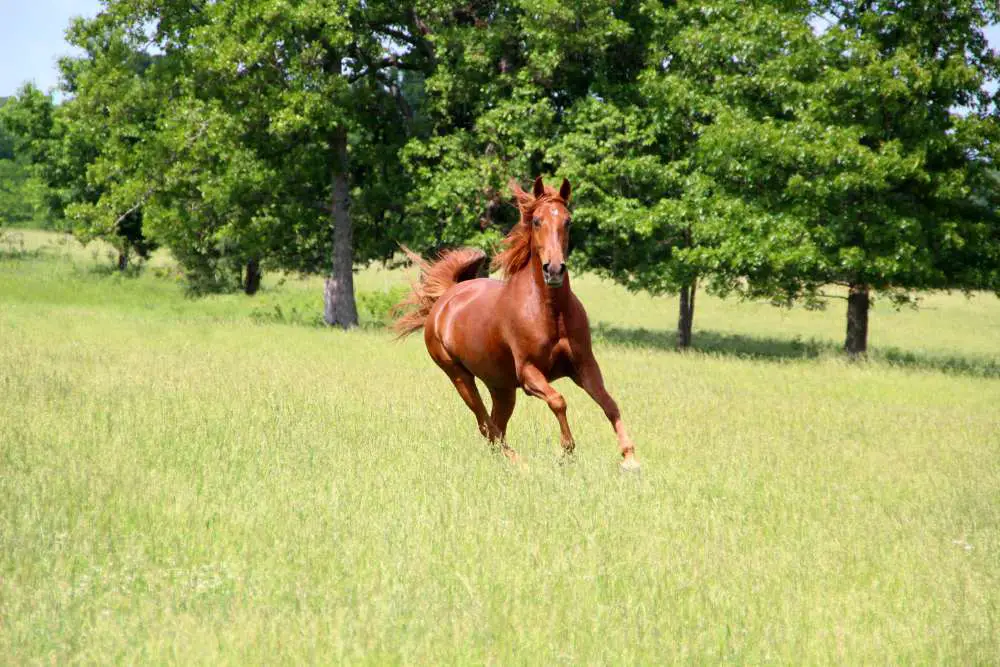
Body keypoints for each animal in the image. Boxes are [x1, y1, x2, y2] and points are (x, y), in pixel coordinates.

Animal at [392, 177, 640, 470]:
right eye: (536, 221)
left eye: (568, 221)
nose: (554, 269)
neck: (551, 312)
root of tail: (445, 298)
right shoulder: (529, 373)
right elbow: (558, 401)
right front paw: (566, 450)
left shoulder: (584, 366)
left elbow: (609, 403)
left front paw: (630, 458)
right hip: (459, 376)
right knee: (486, 425)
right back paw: (520, 463)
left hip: (501, 387)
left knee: (495, 425)